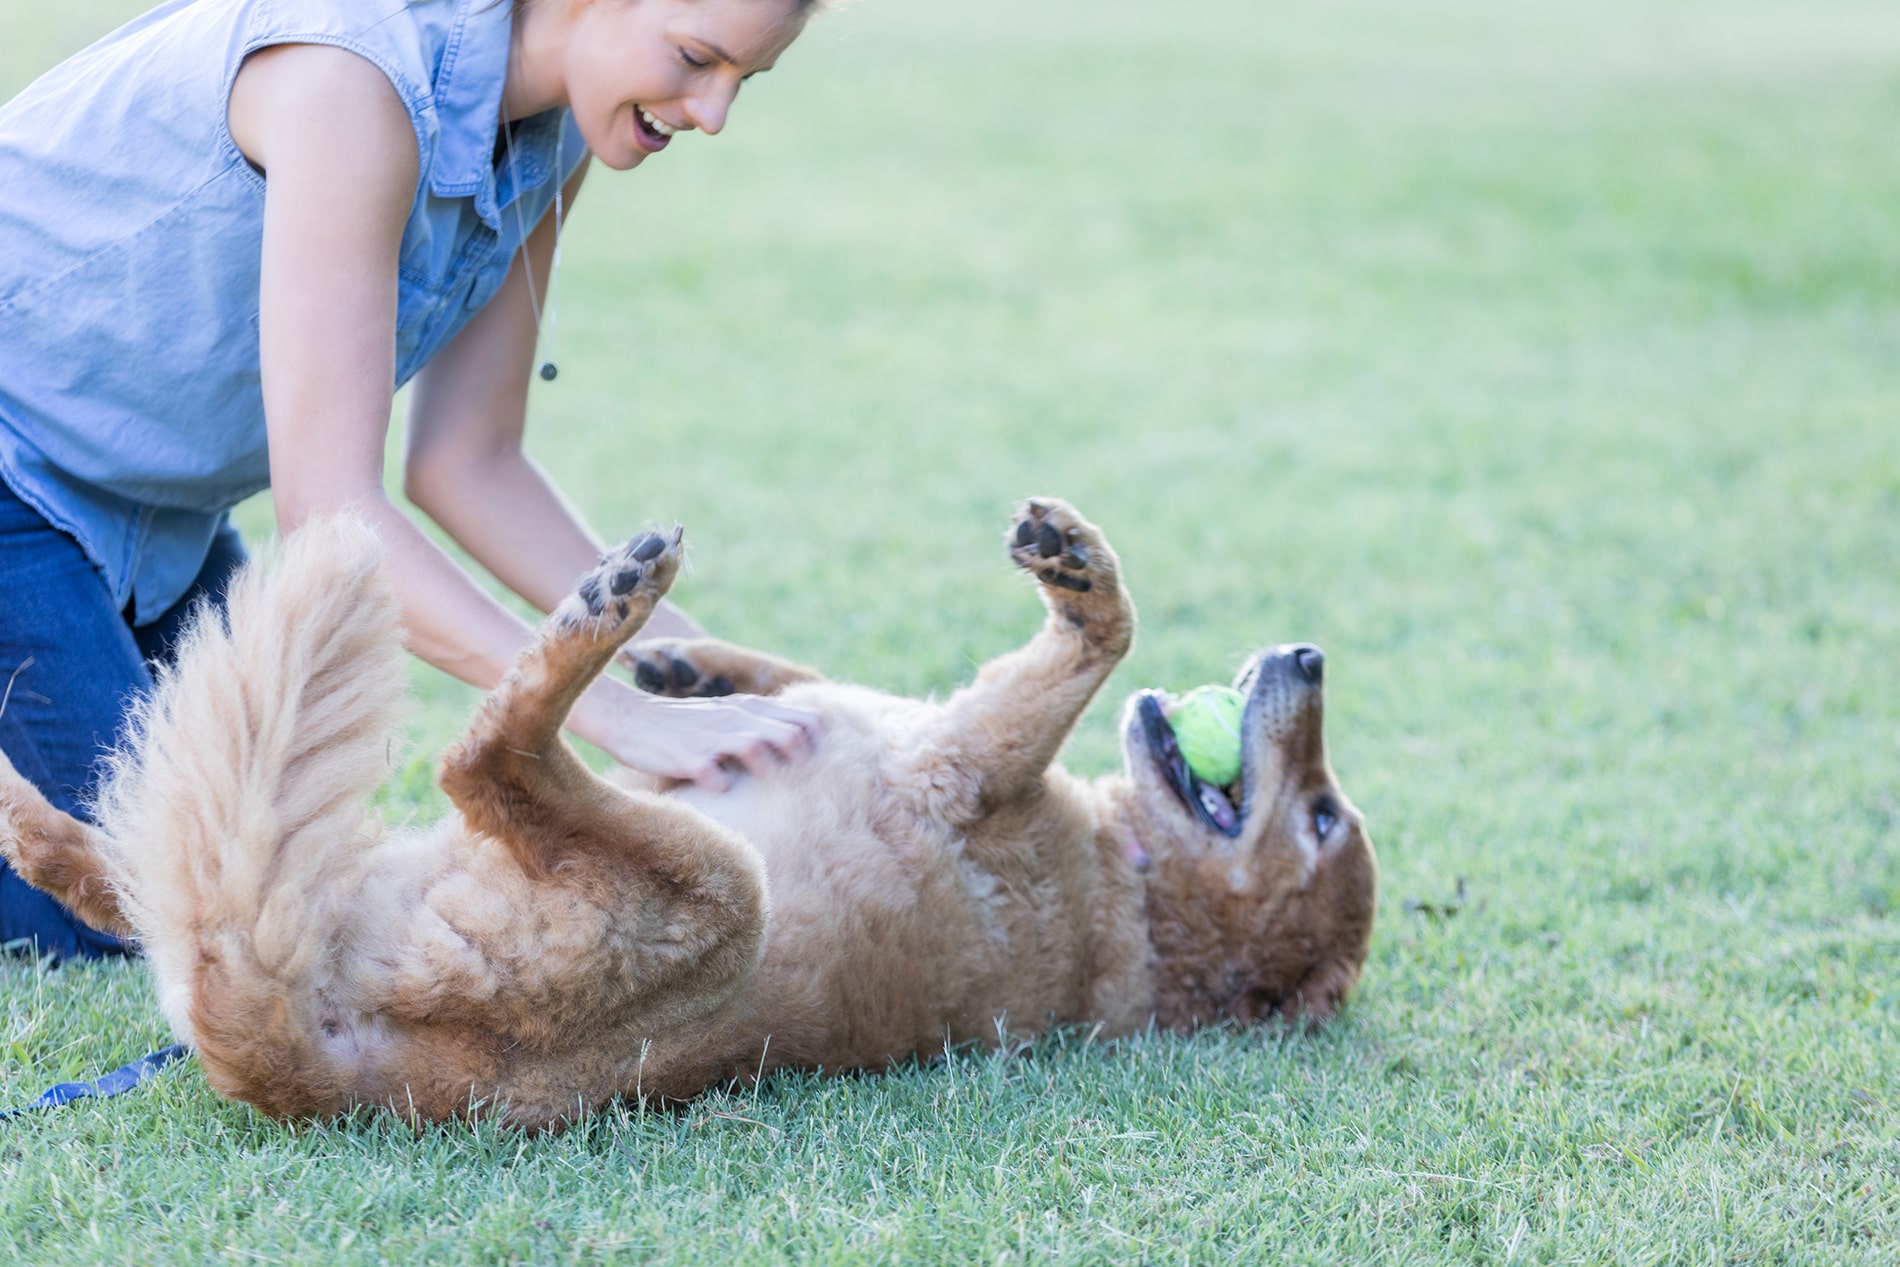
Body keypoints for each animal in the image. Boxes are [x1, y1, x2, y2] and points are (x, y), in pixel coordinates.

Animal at [0, 501, 1375, 1124]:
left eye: (1320, 817)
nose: (1311, 654)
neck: (1135, 900)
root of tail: (338, 1073)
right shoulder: (872, 715)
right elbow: (787, 677)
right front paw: (691, 674)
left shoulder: (962, 755)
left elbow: (1101, 635)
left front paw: (1084, 576)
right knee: (115, 873)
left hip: (717, 891)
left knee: (484, 762)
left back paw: (603, 609)